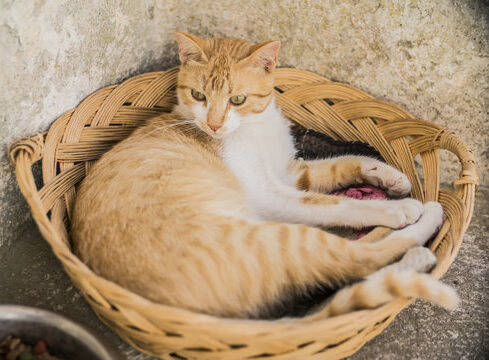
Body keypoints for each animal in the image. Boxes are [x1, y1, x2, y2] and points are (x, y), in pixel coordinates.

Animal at [72, 31, 458, 318]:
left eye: (238, 99)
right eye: (198, 95)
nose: (214, 125)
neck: (254, 128)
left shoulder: (290, 172)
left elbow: (343, 163)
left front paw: (390, 176)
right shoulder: (271, 195)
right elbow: (333, 204)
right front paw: (392, 207)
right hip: (275, 238)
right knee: (359, 258)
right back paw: (425, 224)